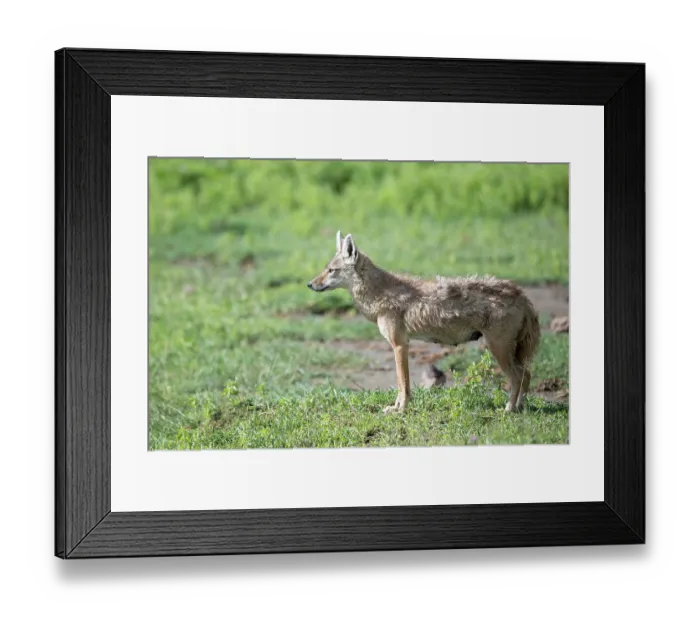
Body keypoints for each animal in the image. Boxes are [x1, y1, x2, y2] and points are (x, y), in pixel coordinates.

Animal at [307, 231, 541, 414]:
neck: (379, 293)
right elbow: (401, 384)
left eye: (331, 270)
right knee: (527, 375)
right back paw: (520, 408)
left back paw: (508, 409)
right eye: (326, 269)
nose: (309, 284)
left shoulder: (400, 345)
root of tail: (522, 295)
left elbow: (403, 385)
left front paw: (401, 410)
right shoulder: (401, 346)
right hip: (509, 352)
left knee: (517, 377)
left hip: (498, 350)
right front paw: (395, 408)